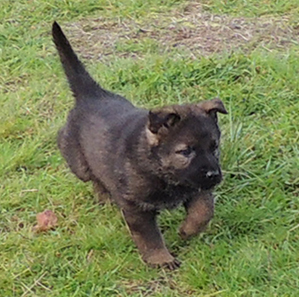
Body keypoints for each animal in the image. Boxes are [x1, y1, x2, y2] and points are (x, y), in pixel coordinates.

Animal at [52, 21, 229, 268]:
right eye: (185, 151)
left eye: (214, 147)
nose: (214, 175)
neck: (158, 168)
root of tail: (92, 94)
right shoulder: (136, 207)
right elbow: (149, 236)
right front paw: (162, 260)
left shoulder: (196, 186)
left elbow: (204, 211)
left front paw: (186, 231)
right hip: (78, 163)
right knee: (89, 172)